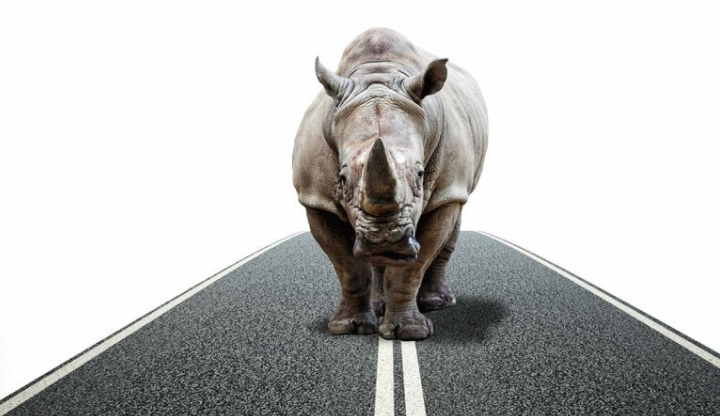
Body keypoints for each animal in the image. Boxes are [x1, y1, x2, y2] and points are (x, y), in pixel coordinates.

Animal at [292, 28, 488, 341]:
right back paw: (379, 304)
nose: (385, 240)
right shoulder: (315, 198)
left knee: (455, 212)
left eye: (420, 175)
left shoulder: (447, 188)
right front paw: (349, 328)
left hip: (457, 185)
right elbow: (349, 268)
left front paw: (407, 332)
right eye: (342, 179)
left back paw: (436, 303)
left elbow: (412, 268)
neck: (379, 74)